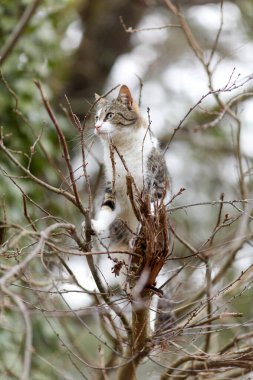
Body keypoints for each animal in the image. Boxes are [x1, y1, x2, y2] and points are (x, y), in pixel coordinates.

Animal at [86, 84, 169, 282]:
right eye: (97, 117)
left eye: (109, 115)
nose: (97, 126)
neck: (123, 148)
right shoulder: (113, 186)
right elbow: (107, 208)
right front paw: (97, 225)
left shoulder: (156, 185)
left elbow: (149, 210)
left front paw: (138, 234)